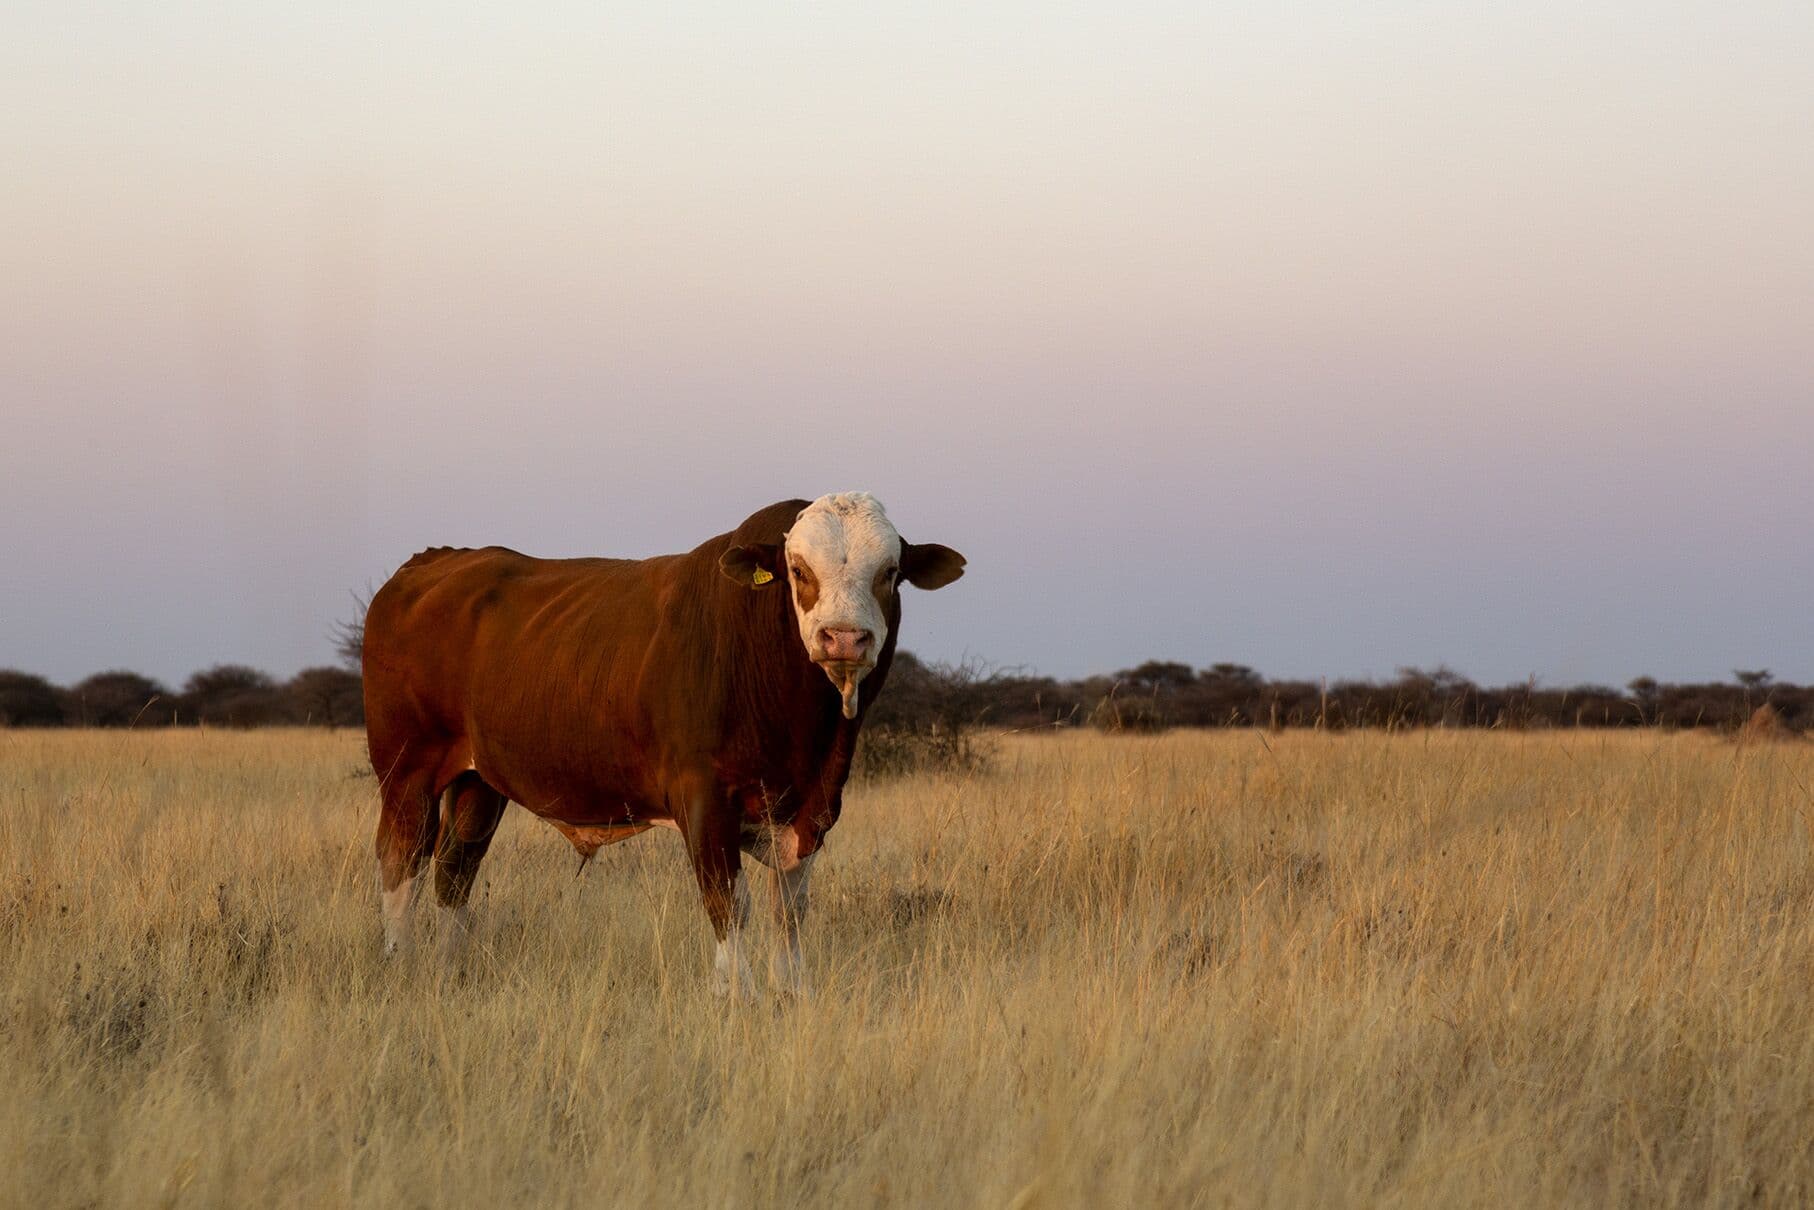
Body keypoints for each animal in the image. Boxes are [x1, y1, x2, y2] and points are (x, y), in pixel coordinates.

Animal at [360, 493, 965, 995]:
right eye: (798, 571)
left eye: (890, 573)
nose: (843, 637)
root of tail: (431, 562)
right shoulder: (704, 802)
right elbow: (729, 904)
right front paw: (734, 992)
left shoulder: (813, 809)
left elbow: (789, 911)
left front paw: (792, 990)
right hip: (407, 771)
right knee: (402, 861)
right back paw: (399, 963)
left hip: (479, 781)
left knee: (454, 870)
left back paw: (449, 972)